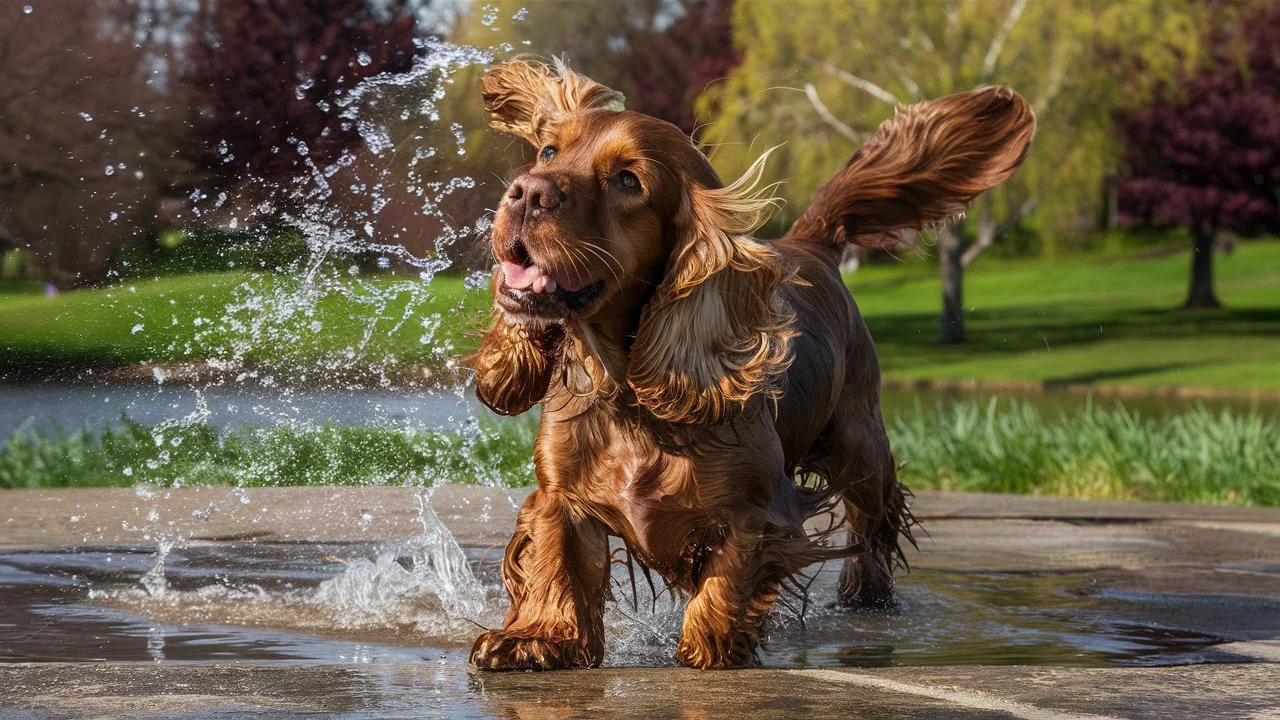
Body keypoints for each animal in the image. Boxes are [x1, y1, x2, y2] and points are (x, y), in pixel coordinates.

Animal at [465, 57, 1034, 666]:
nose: (525, 192)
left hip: (859, 443)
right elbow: (557, 567)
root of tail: (811, 243)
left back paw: (867, 595)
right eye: (548, 151)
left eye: (627, 181)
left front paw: (707, 650)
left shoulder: (756, 514)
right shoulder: (561, 498)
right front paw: (537, 638)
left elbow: (725, 585)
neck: (627, 392)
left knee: (875, 522)